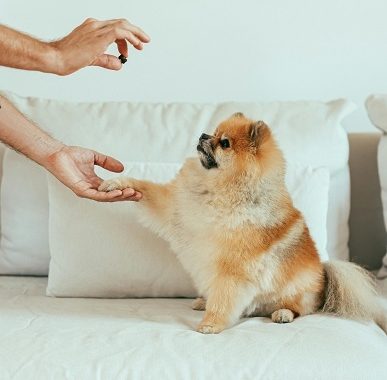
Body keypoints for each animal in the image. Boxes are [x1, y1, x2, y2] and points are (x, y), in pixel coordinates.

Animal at [98, 112, 386, 332]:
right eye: (214, 132)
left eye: (224, 143)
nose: (203, 135)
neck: (218, 189)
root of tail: (324, 274)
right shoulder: (174, 208)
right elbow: (145, 188)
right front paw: (117, 183)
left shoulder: (233, 269)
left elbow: (224, 299)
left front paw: (211, 324)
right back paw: (203, 300)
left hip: (297, 291)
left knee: (301, 308)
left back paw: (282, 313)